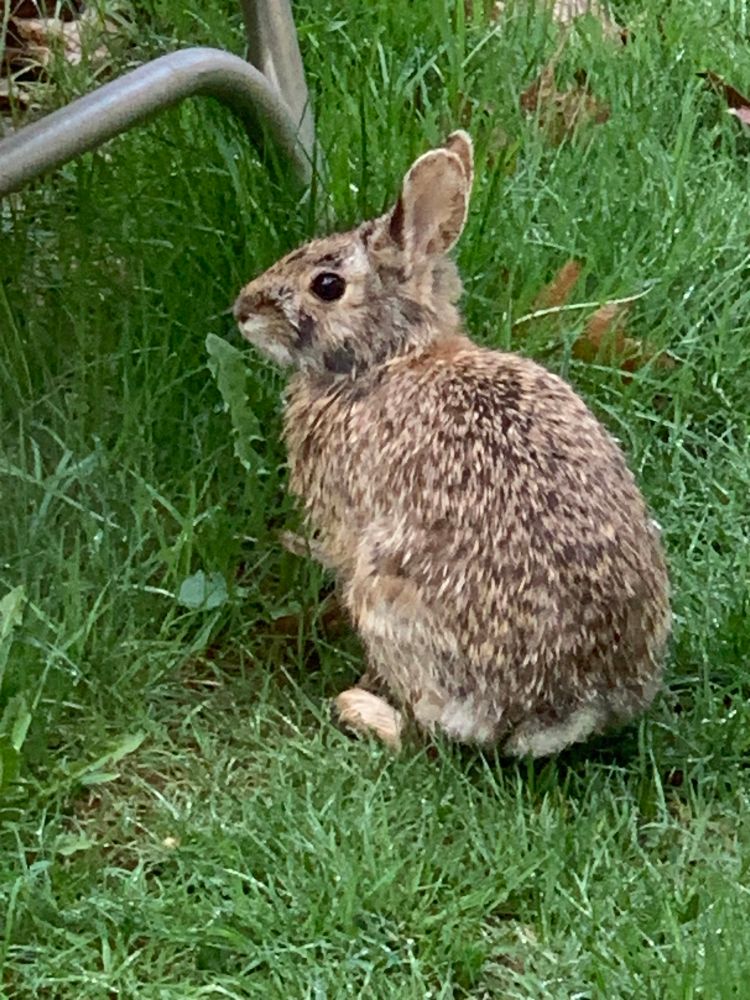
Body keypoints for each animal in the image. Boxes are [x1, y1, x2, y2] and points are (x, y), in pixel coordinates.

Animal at [233, 130, 670, 756]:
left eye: (327, 286)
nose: (243, 310)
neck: (390, 358)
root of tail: (566, 708)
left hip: (385, 597)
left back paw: (362, 709)